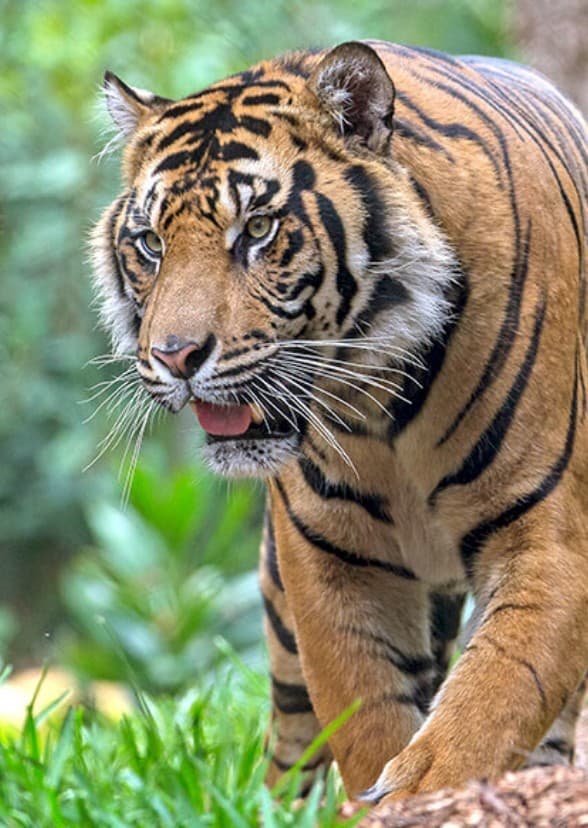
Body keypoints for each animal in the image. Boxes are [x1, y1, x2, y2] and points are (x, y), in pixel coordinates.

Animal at [91, 40, 588, 803]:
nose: (175, 356)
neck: (383, 409)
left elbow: (495, 695)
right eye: (149, 243)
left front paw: (424, 791)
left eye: (257, 229)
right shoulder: (329, 558)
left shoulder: (547, 534)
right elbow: (365, 711)